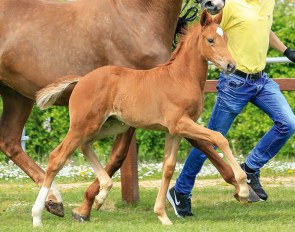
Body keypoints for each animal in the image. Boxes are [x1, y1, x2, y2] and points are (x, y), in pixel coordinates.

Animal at [33, 9, 247, 227]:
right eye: (210, 39)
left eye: (226, 38)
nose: (231, 65)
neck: (181, 77)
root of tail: (81, 79)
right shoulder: (180, 123)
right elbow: (219, 137)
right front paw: (243, 187)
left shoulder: (175, 131)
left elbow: (168, 168)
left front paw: (162, 215)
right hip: (83, 125)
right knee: (57, 157)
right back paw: (37, 216)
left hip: (110, 125)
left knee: (84, 146)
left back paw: (102, 194)